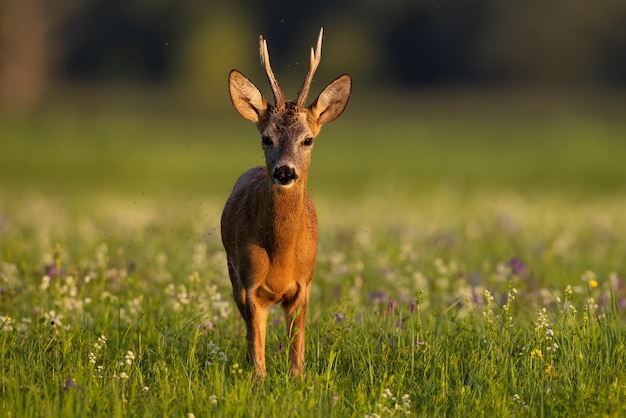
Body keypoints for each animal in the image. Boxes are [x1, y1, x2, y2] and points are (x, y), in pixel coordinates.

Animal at [222, 27, 352, 378]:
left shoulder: (303, 285)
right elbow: (256, 345)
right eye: (266, 138)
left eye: (308, 139)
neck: (280, 255)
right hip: (232, 271)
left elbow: (297, 346)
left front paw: (297, 377)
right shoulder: (251, 284)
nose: (284, 171)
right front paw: (259, 380)